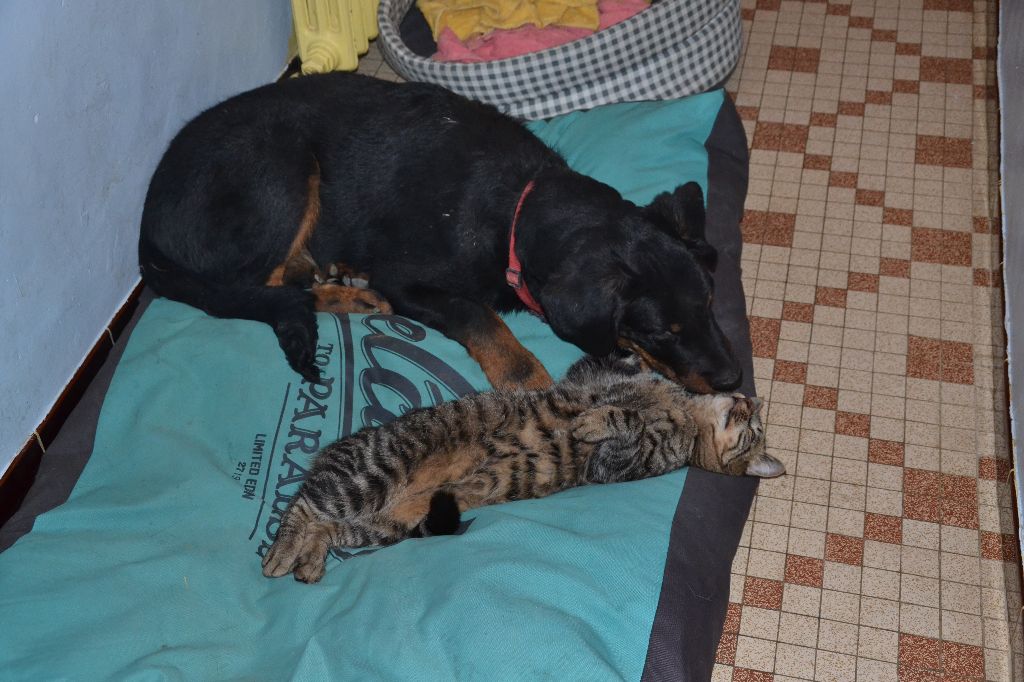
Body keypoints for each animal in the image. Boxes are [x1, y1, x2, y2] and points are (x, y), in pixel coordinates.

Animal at [139, 73, 742, 393]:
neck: (517, 208)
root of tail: (145, 230)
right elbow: (478, 314)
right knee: (256, 286)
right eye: (660, 331)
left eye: (711, 304)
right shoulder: (410, 282)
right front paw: (525, 379)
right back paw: (346, 294)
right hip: (281, 167)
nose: (734, 379)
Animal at [262, 353, 783, 583]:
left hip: (383, 521)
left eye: (755, 430)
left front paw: (597, 420)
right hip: (373, 475)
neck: (688, 414)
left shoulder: (617, 465)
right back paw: (285, 554)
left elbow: (626, 420)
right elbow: (611, 382)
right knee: (304, 505)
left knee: (319, 520)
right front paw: (631, 363)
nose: (751, 401)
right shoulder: (588, 381)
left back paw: (301, 561)